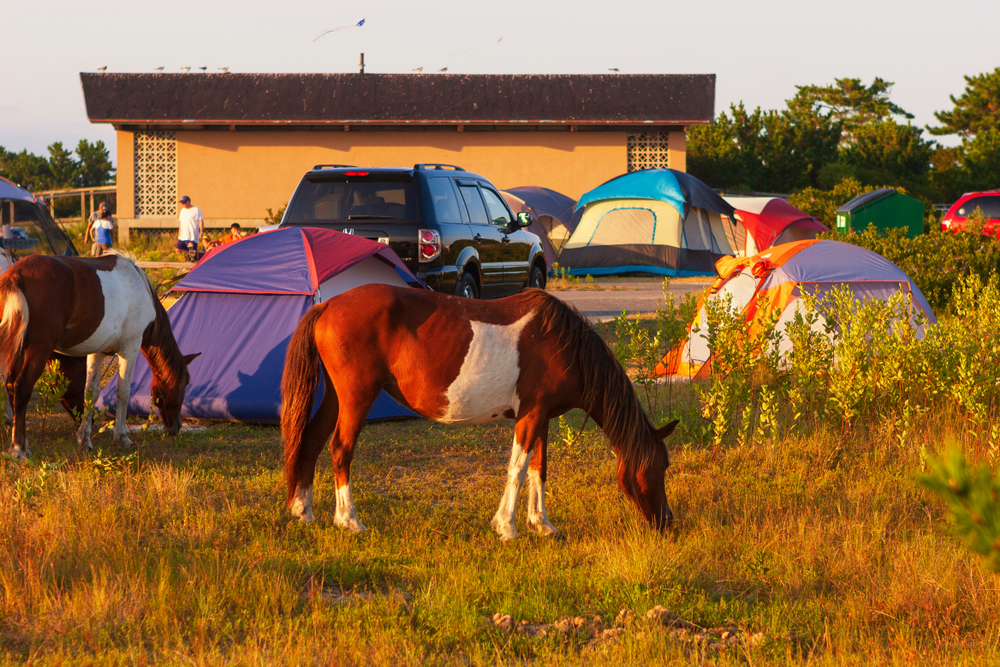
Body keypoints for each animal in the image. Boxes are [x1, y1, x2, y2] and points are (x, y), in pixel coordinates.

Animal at [0, 252, 199, 460]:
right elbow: (123, 392)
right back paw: (19, 448)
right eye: (186, 383)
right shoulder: (130, 348)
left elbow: (91, 392)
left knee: (10, 385)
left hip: (16, 348)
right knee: (21, 387)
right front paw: (122, 438)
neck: (138, 287)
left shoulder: (98, 352)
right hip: (38, 349)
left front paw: (84, 439)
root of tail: (16, 273)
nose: (176, 427)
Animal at [282, 284, 680, 540]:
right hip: (357, 398)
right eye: (661, 467)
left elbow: (538, 469)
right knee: (340, 449)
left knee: (312, 441)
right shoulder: (530, 416)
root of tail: (327, 306)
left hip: (336, 398)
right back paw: (349, 521)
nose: (668, 523)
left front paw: (542, 525)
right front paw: (507, 527)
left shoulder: (541, 417)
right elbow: (517, 469)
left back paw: (303, 511)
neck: (564, 344)